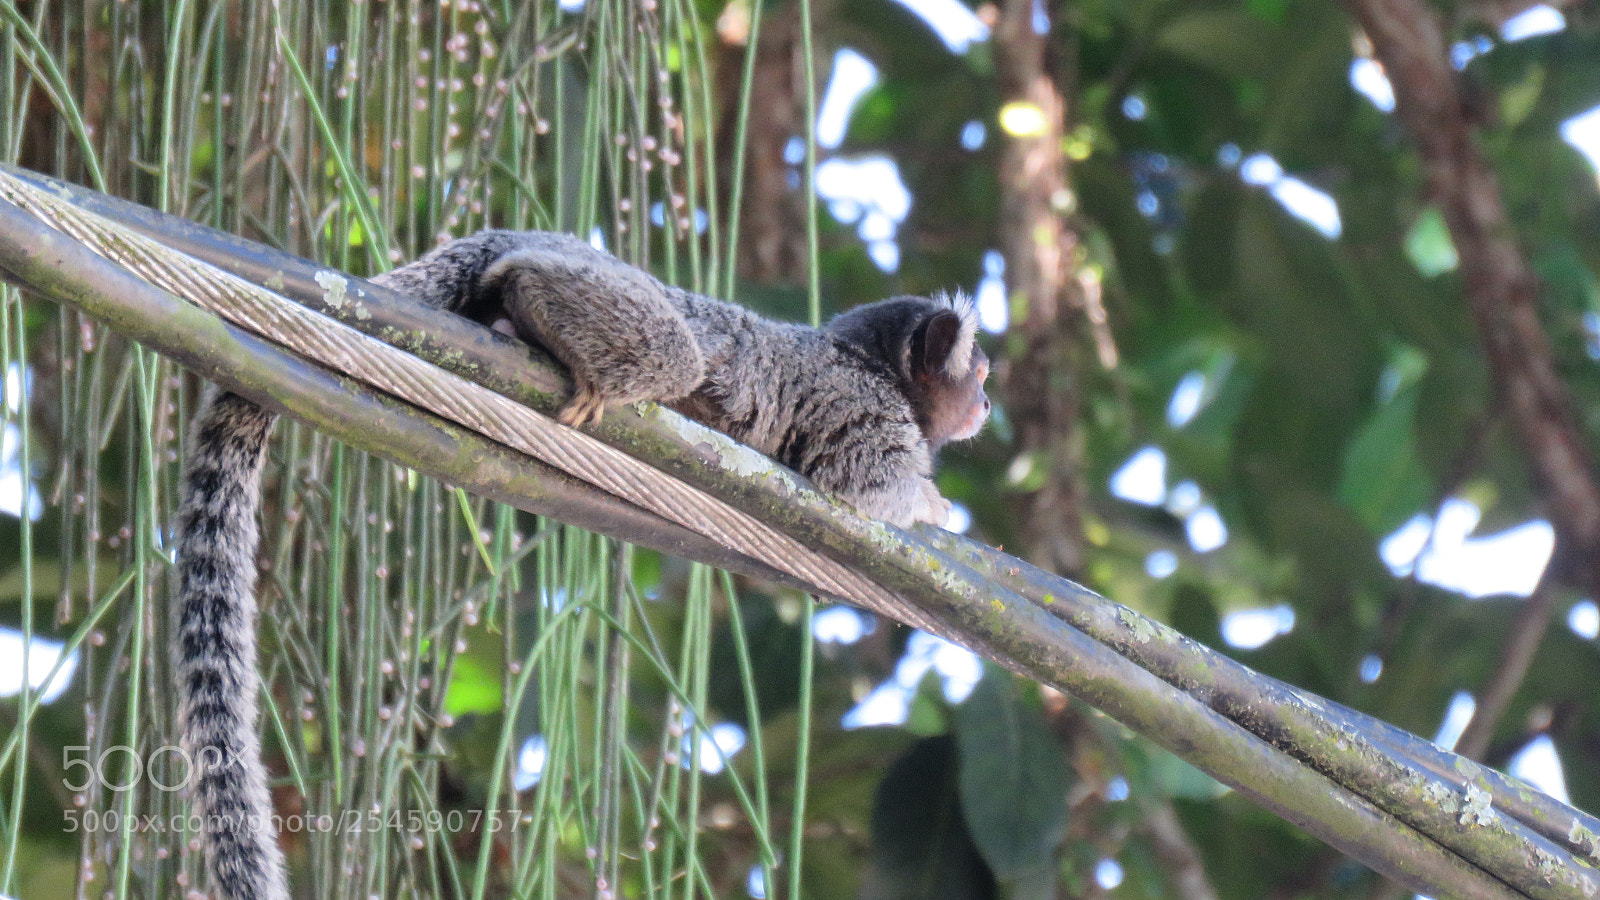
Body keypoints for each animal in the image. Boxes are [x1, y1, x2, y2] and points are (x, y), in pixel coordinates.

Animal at [174, 230, 990, 900]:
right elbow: (863, 488)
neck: (869, 361)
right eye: (979, 377)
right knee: (671, 353)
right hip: (618, 300)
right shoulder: (865, 410)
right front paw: (933, 506)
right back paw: (537, 313)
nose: (985, 406)